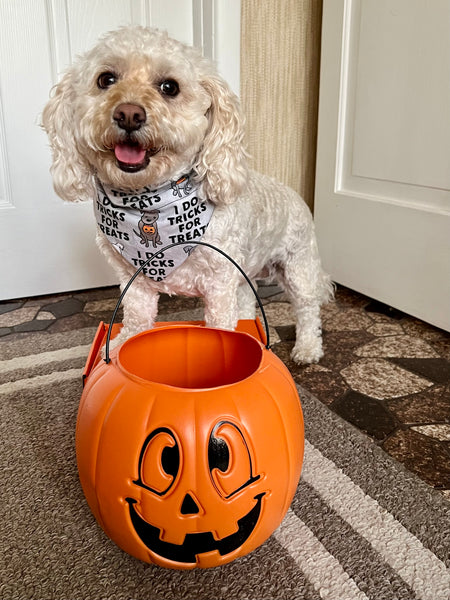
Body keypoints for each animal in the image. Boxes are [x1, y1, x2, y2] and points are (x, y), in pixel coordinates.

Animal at [43, 25, 330, 364]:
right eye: (105, 79)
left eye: (170, 87)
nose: (128, 114)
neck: (148, 197)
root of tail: (294, 194)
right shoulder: (135, 280)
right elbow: (137, 317)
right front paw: (122, 343)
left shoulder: (219, 282)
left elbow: (220, 324)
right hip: (245, 271)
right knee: (247, 301)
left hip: (298, 265)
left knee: (307, 309)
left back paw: (308, 348)